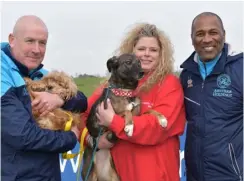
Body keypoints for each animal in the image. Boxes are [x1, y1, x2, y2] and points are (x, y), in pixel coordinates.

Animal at [82, 53, 143, 181]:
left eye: (139, 62)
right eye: (128, 62)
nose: (142, 72)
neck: (125, 91)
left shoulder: (137, 111)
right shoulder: (110, 114)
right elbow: (127, 111)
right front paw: (129, 126)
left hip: (115, 177)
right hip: (90, 176)